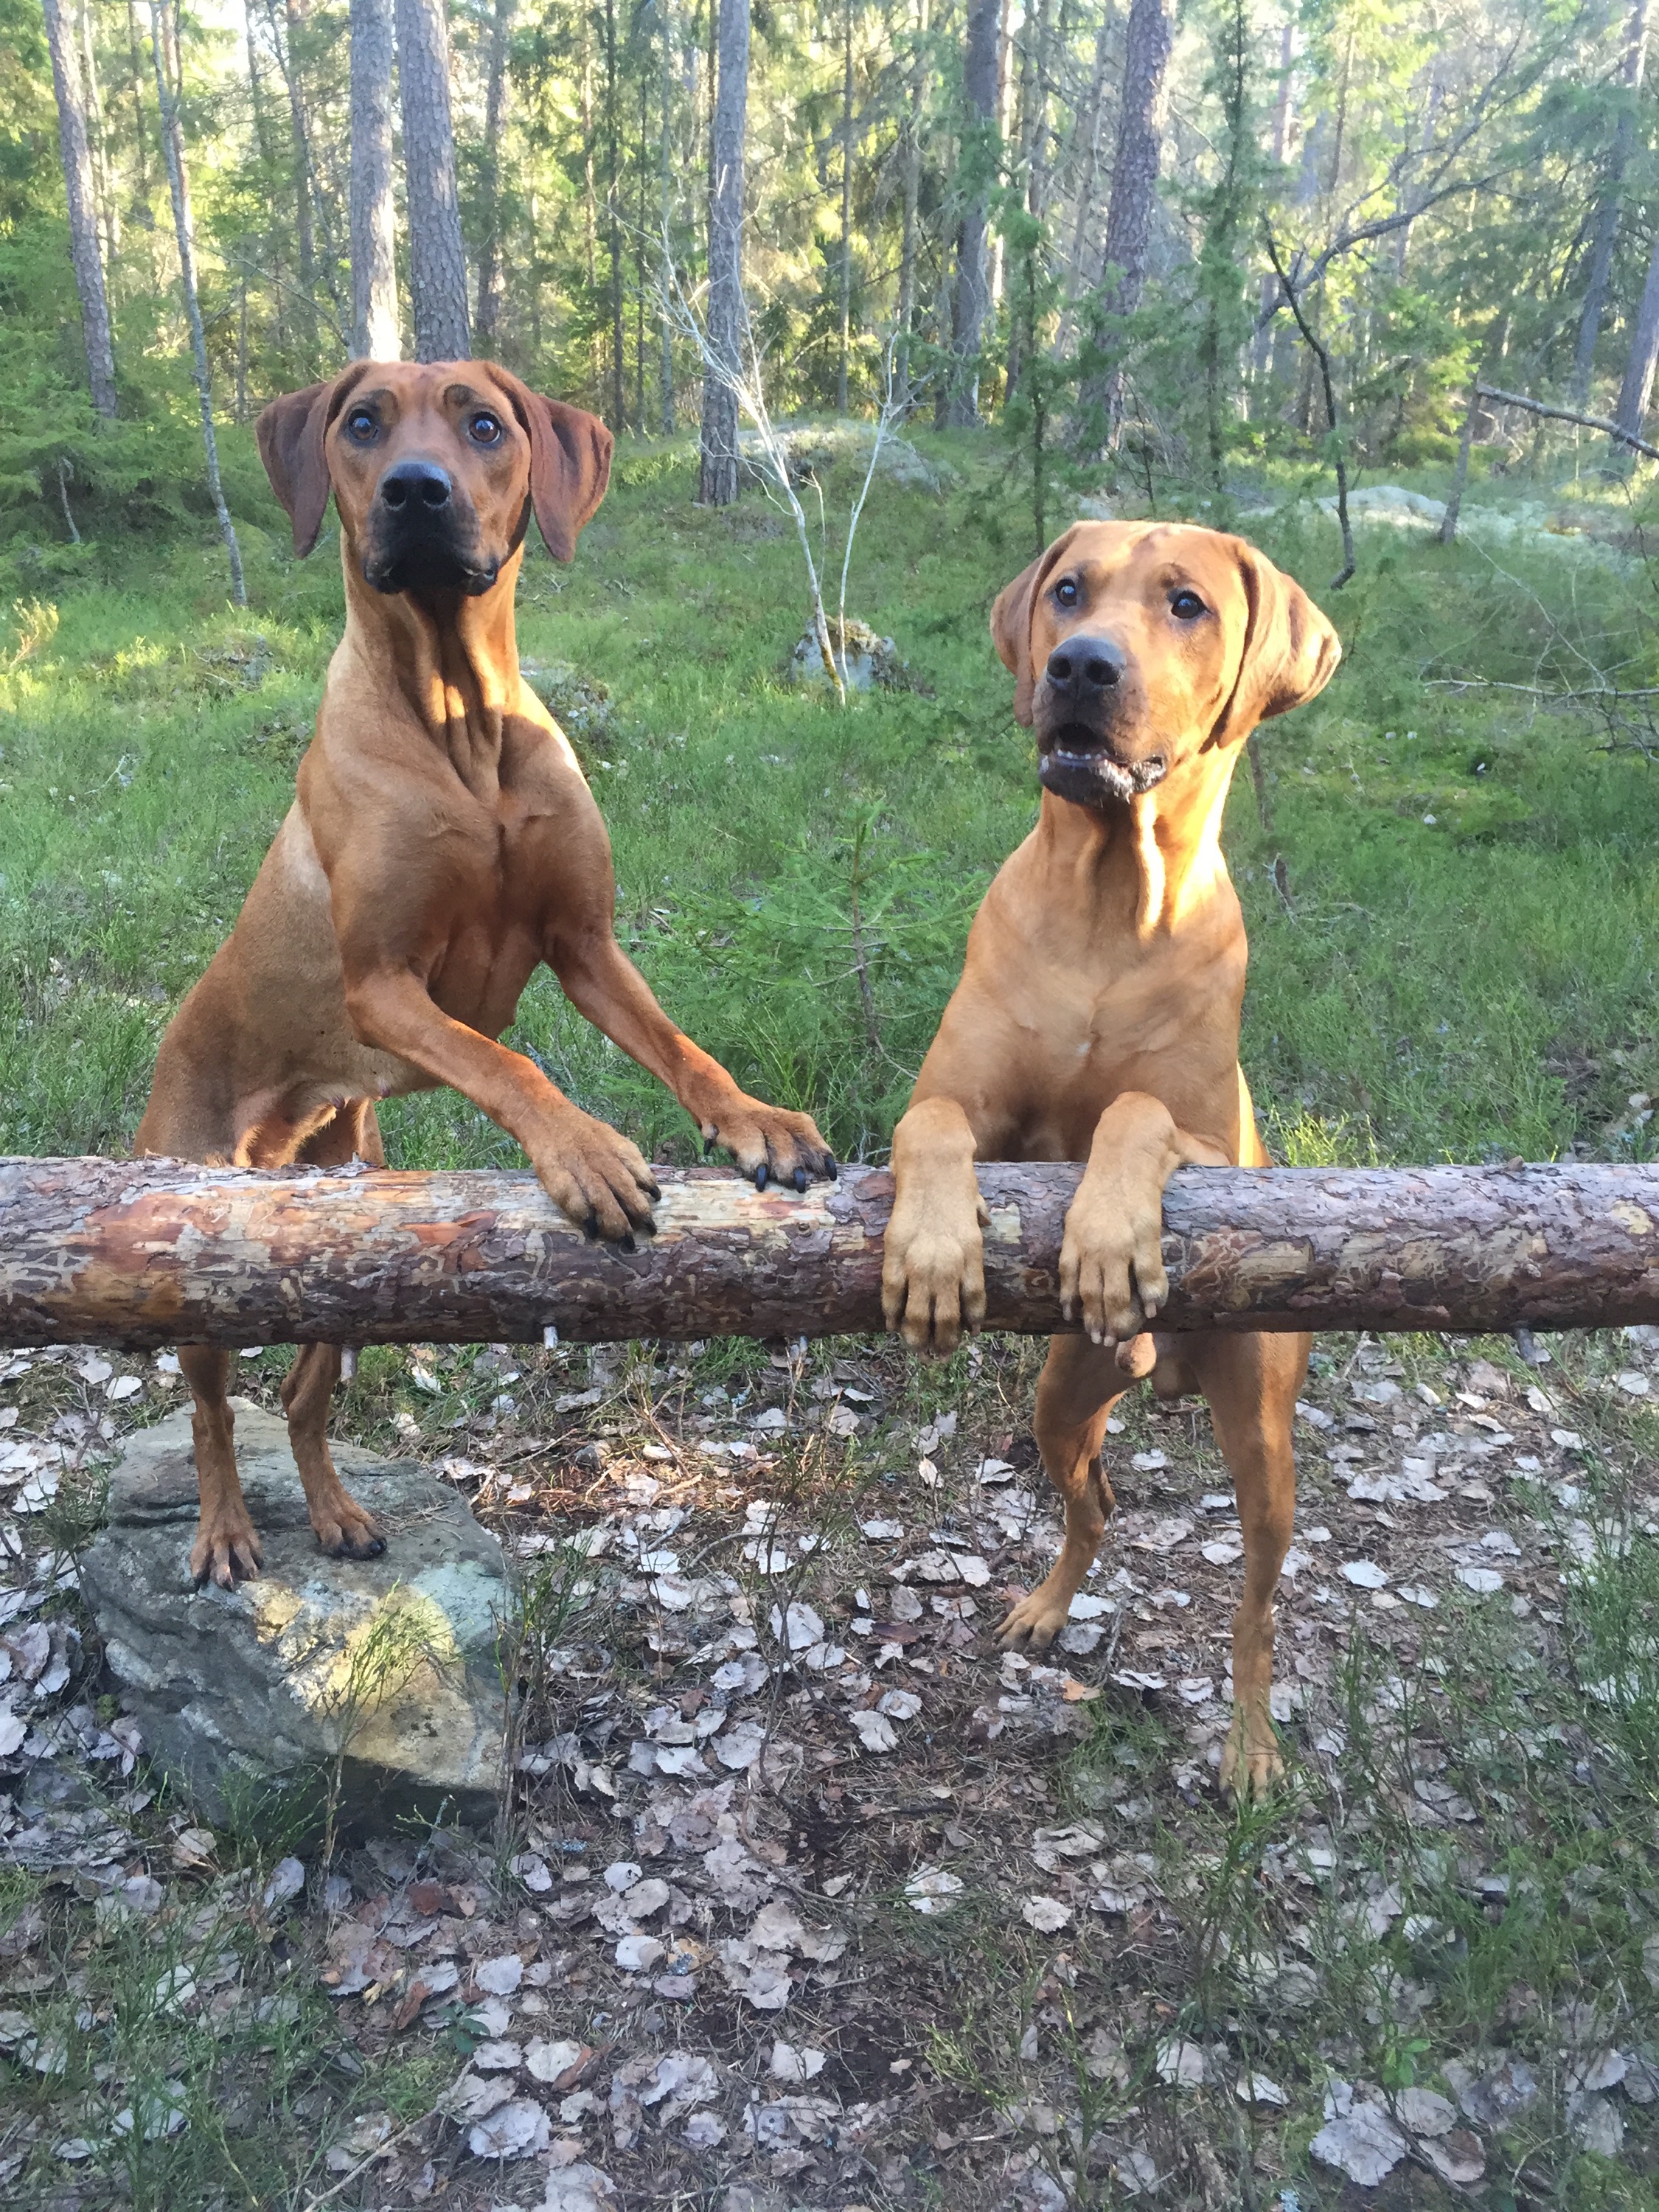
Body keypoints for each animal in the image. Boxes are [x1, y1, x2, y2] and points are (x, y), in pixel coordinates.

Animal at [136, 360, 835, 1589]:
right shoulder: (381, 985)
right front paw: (586, 1154)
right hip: (198, 1251)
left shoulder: (586, 944)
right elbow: (505, 1062)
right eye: (364, 424)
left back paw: (336, 1513)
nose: (417, 490)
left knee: (303, 1395)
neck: (462, 722)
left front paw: (755, 1123)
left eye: (484, 425)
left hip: (348, 1254)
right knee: (213, 1413)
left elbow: (679, 1046)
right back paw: (224, 1531)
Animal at [880, 520, 1340, 1797]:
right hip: (1061, 1396)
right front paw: (931, 1253)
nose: (1081, 665)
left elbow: (1135, 1110)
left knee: (1255, 1605)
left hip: (1263, 1443)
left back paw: (1249, 1746)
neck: (1106, 904)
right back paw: (1045, 1607)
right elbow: (931, 1128)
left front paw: (1103, 1234)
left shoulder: (1209, 1136)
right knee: (1095, 1506)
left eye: (1186, 605)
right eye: (1070, 592)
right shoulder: (954, 1102)